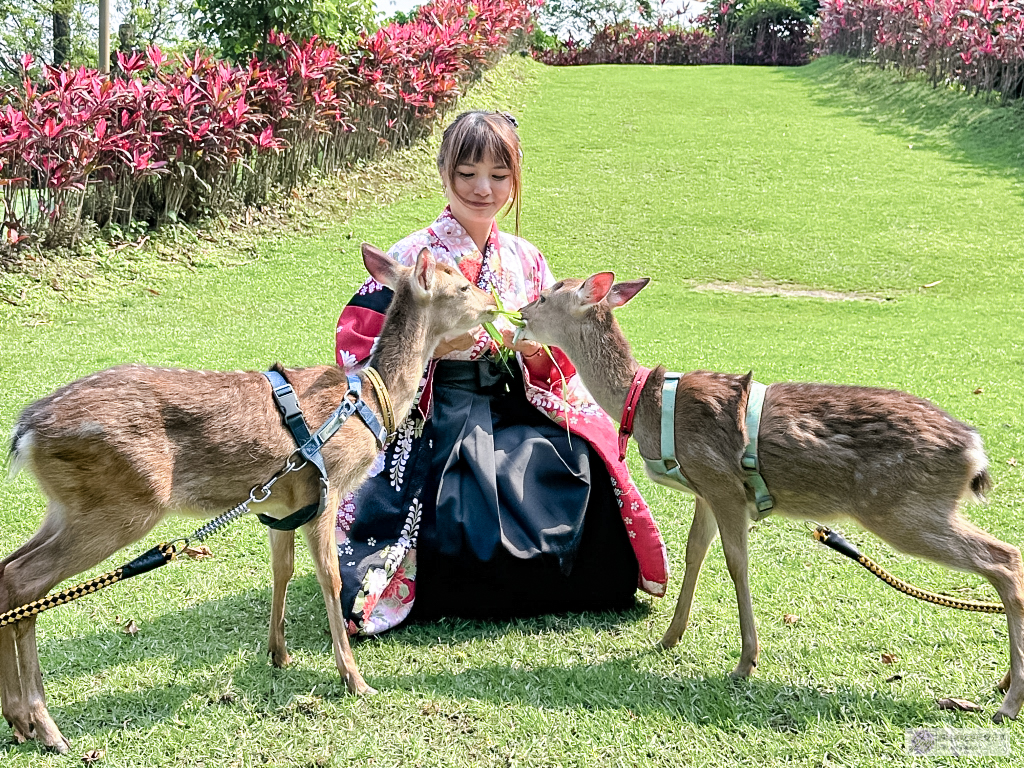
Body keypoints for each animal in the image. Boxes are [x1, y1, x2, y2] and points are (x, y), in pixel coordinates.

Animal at [0, 244, 495, 753]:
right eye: (462, 285)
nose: (493, 303)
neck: (370, 405)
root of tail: (26, 433)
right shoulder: (329, 488)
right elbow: (331, 579)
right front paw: (354, 679)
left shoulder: (281, 505)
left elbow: (283, 569)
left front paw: (279, 654)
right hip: (123, 504)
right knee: (24, 578)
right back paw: (47, 727)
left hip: (67, 506)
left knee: (8, 571)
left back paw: (19, 720)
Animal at [516, 272, 1024, 729]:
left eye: (543, 295)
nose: (518, 314)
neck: (643, 406)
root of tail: (975, 450)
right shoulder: (705, 491)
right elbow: (694, 553)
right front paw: (667, 639)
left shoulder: (722, 484)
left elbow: (735, 562)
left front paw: (745, 663)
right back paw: (1001, 685)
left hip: (902, 508)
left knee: (1004, 558)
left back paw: (1007, 702)